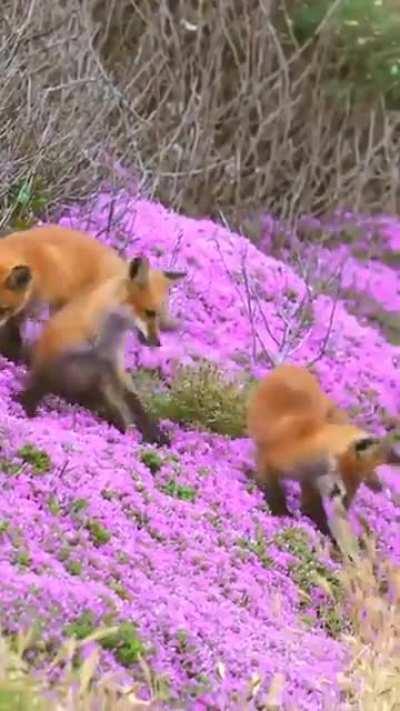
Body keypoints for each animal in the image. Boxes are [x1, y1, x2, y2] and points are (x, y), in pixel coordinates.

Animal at [18, 255, 185, 445]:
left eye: (160, 317)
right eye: (150, 313)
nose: (158, 343)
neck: (99, 342)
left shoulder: (112, 365)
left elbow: (136, 405)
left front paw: (156, 435)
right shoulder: (53, 355)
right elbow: (36, 386)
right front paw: (27, 411)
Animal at [246, 364, 400, 538]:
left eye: (357, 485)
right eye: (340, 487)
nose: (345, 508)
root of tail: (293, 367)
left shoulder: (310, 483)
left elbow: (312, 509)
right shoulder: (266, 462)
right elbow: (274, 493)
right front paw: (281, 514)